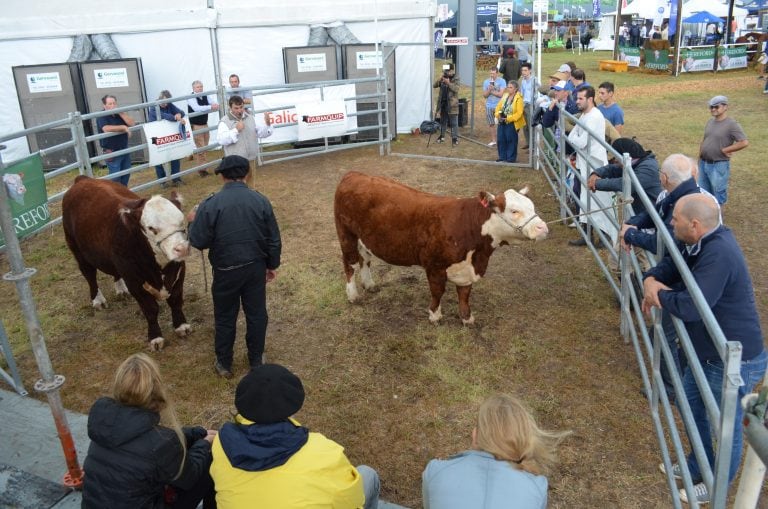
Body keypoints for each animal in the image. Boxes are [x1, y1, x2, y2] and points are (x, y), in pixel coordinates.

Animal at [64, 176, 194, 350]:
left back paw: (121, 290)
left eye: (182, 221)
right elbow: (150, 309)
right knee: (90, 275)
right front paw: (155, 337)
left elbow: (175, 300)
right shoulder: (134, 280)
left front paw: (181, 326)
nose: (182, 248)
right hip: (78, 251)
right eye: (151, 228)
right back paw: (98, 300)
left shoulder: (179, 269)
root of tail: (82, 179)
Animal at [332, 170, 548, 322]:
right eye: (514, 211)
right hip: (346, 234)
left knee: (365, 259)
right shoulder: (434, 266)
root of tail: (354, 174)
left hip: (365, 237)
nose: (543, 228)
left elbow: (464, 294)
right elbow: (438, 291)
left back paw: (369, 284)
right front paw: (435, 315)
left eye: (532, 207)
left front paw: (467, 317)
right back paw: (353, 295)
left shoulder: (466, 268)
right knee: (350, 263)